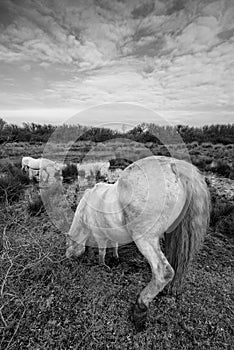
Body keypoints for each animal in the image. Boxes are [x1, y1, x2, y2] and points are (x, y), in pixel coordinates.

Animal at [66, 156, 210, 330]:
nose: (67, 257)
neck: (87, 206)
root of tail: (174, 167)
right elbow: (114, 245)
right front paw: (114, 258)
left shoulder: (100, 235)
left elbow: (101, 251)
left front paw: (102, 265)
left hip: (145, 239)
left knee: (164, 272)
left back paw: (140, 308)